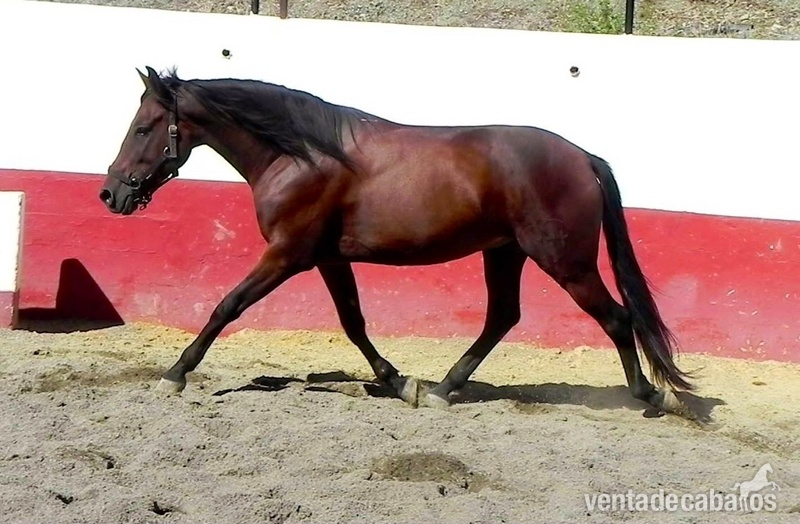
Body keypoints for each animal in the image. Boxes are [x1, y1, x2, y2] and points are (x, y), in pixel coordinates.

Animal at [100, 66, 694, 415]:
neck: (300, 156)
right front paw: (398, 381)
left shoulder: (288, 254)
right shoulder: (325, 259)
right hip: (505, 252)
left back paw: (649, 394)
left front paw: (174, 374)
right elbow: (354, 322)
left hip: (564, 261)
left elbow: (228, 306)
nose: (111, 193)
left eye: (144, 127)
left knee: (616, 317)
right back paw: (444, 388)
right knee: (503, 317)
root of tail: (583, 157)